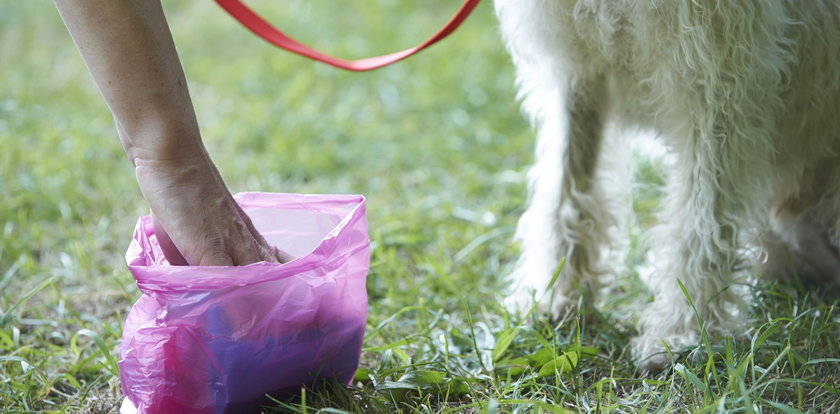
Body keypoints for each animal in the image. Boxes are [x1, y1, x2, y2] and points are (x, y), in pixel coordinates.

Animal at [496, 0, 840, 370]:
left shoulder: (720, 77)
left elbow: (703, 222)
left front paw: (684, 331)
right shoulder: (578, 73)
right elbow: (566, 190)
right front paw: (556, 293)